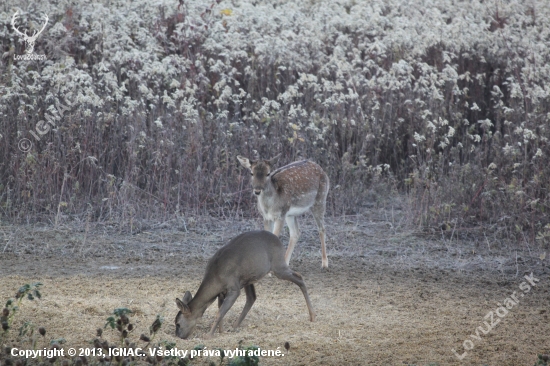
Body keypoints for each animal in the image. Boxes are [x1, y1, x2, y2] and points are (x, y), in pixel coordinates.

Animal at [175, 230, 316, 338]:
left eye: (178, 324)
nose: (178, 336)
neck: (216, 278)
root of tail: (278, 240)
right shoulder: (221, 292)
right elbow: (220, 311)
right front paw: (221, 331)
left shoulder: (234, 288)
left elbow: (220, 313)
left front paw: (209, 335)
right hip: (249, 277)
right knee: (252, 297)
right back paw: (235, 325)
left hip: (278, 265)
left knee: (299, 277)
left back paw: (312, 316)